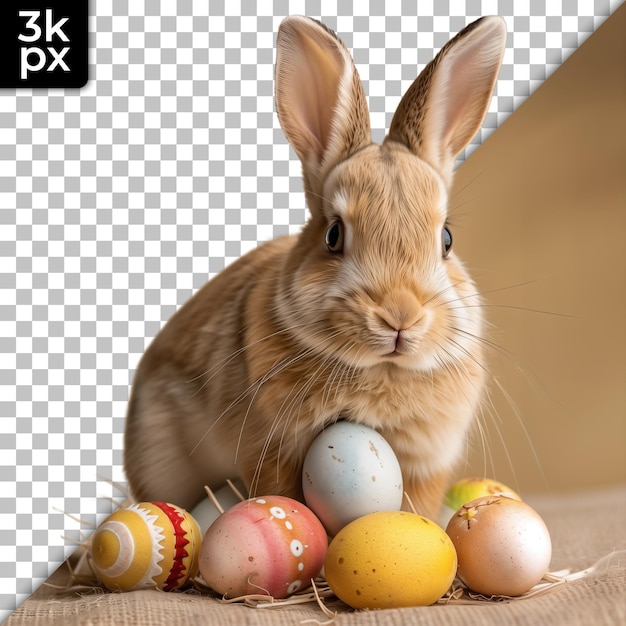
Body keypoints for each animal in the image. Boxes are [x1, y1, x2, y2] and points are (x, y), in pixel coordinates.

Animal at [123, 15, 508, 520]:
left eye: (446, 239)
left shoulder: (425, 465)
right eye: (333, 235)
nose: (400, 318)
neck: (382, 371)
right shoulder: (271, 450)